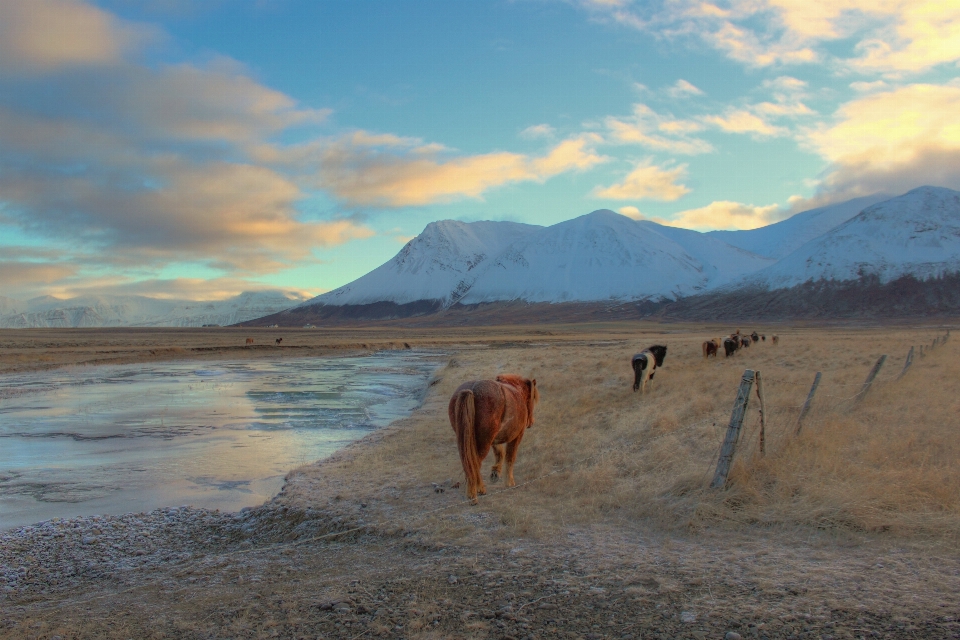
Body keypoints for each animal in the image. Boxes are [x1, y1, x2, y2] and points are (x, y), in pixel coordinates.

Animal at [450, 372, 540, 502]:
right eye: (532, 398)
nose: (531, 422)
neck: (516, 391)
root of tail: (471, 390)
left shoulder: (494, 440)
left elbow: (500, 453)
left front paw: (495, 473)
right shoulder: (516, 437)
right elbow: (510, 457)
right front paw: (509, 482)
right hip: (483, 443)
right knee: (475, 464)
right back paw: (476, 492)